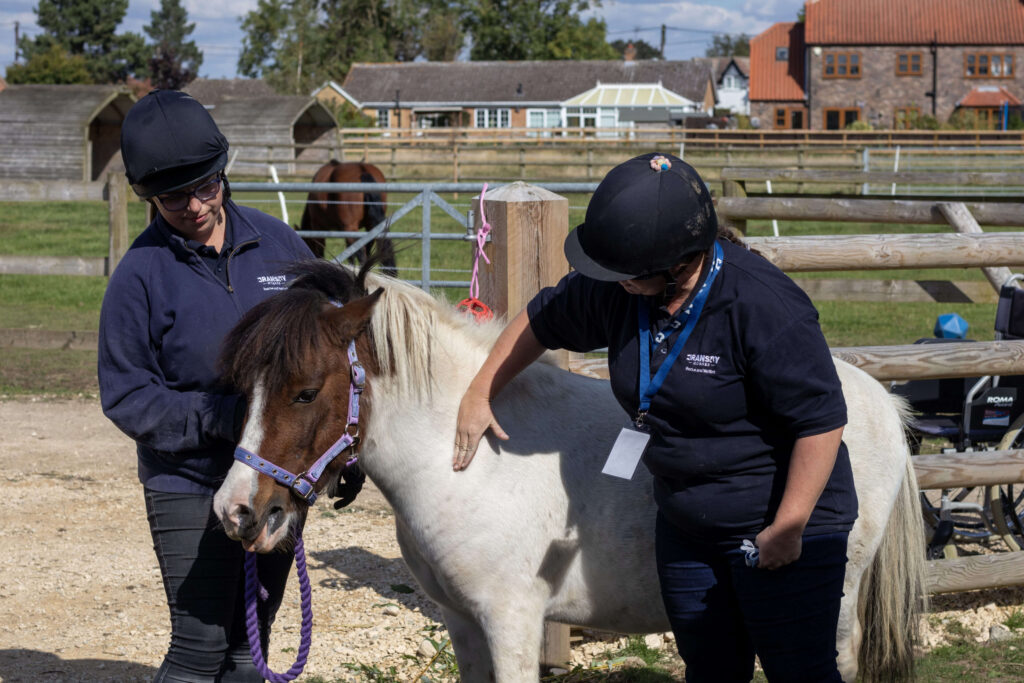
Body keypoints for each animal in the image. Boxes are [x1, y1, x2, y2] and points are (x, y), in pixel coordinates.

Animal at [213, 259, 927, 683]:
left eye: (305, 392)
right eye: (244, 386)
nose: (238, 511)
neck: (461, 461)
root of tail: (880, 404)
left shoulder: (511, 621)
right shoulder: (463, 624)